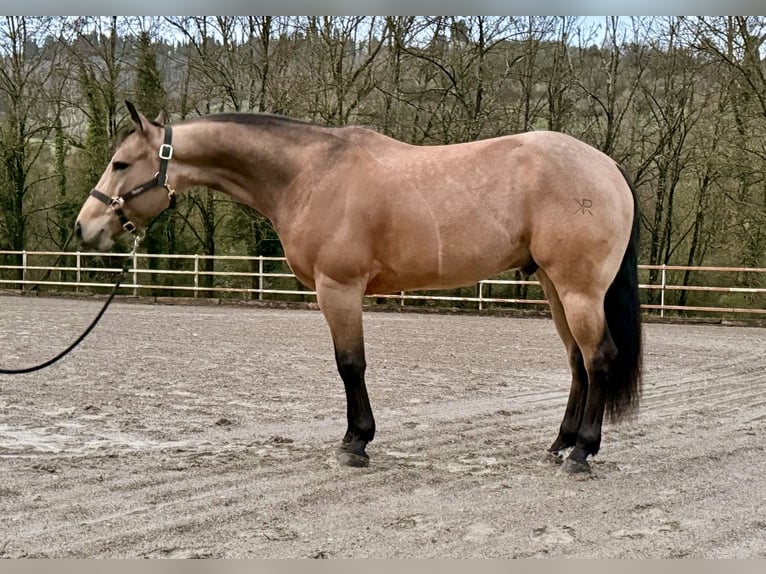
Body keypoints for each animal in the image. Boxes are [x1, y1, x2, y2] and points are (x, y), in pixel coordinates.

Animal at [75, 101, 642, 474]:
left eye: (121, 163)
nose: (85, 229)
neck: (310, 174)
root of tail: (608, 166)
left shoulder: (339, 289)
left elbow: (350, 364)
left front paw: (356, 443)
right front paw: (355, 438)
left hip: (577, 289)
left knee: (598, 359)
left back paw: (582, 452)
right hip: (553, 286)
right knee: (577, 362)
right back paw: (560, 443)